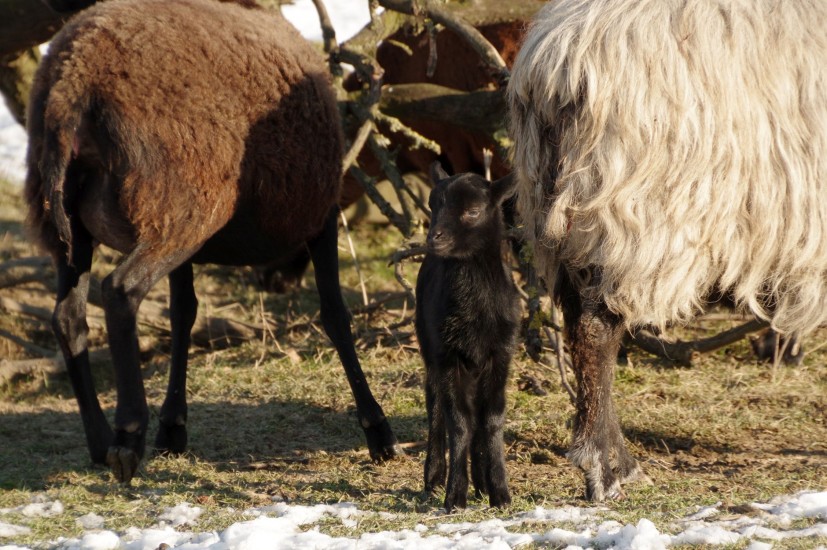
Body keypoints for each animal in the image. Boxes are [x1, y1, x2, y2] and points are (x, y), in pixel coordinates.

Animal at [24, 0, 401, 483]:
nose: (272, 283)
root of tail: (72, 84)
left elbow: (184, 314)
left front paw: (173, 428)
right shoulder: (321, 217)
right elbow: (335, 317)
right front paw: (379, 431)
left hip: (79, 227)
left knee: (69, 316)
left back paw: (99, 441)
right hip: (179, 206)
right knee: (121, 291)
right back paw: (127, 435)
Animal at [415, 162, 519, 512]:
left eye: (473, 211)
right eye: (433, 205)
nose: (435, 238)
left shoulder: (501, 353)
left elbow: (492, 418)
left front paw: (500, 493)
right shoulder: (448, 354)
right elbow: (459, 420)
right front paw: (454, 496)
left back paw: (482, 481)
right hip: (428, 342)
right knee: (435, 403)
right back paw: (434, 476)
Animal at [508, 0, 827, 500]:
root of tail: (553, 64)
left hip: (558, 210)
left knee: (577, 319)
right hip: (635, 207)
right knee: (596, 329)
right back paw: (609, 466)